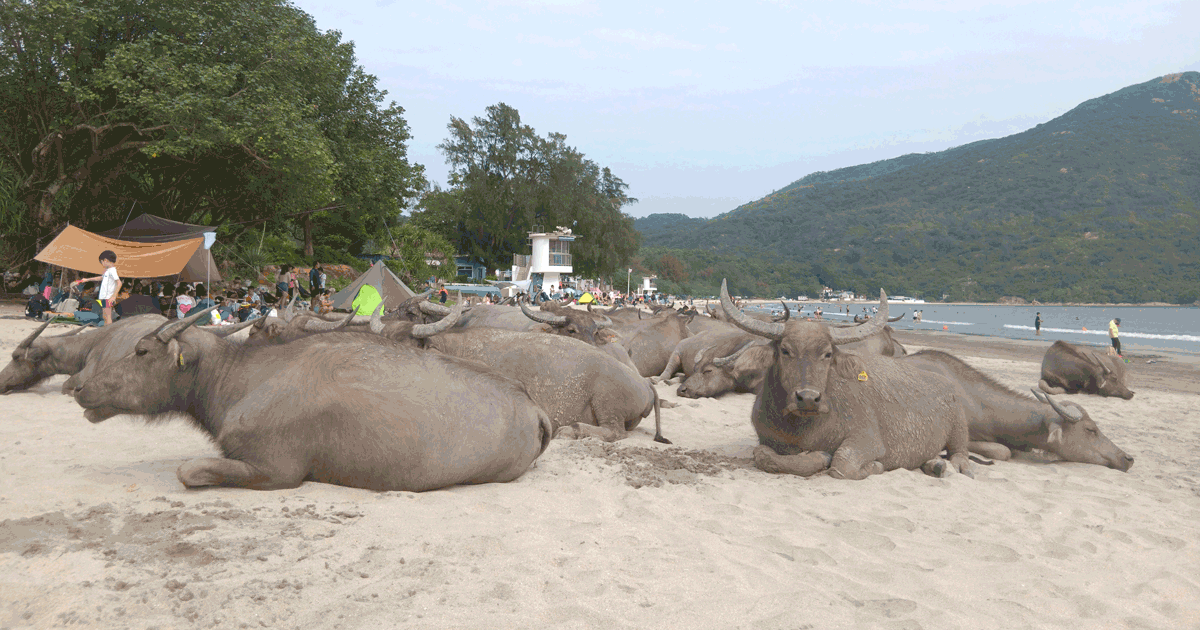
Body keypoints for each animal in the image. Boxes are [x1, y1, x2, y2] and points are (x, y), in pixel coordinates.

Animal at [70, 306, 549, 492]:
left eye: (141, 351)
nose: (79, 386)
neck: (246, 378)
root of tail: (532, 406)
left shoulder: (277, 470)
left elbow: (189, 471)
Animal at [715, 277, 969, 480]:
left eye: (828, 354)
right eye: (785, 350)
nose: (808, 398)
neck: (801, 428)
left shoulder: (867, 440)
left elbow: (842, 464)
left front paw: (873, 466)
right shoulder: (765, 440)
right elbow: (764, 456)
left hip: (959, 429)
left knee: (960, 454)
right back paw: (934, 464)